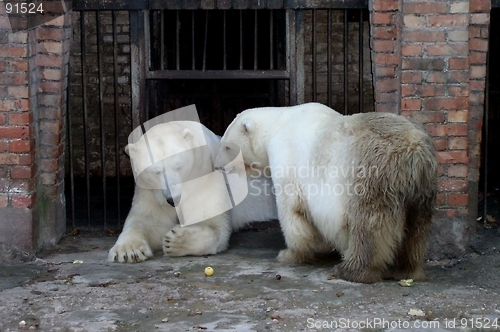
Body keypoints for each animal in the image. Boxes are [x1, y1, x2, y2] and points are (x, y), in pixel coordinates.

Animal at [108, 120, 278, 264]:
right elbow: (148, 220)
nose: (173, 199)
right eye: (155, 171)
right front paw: (129, 251)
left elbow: (214, 225)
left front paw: (175, 240)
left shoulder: (206, 176)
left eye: (178, 165)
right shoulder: (150, 190)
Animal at [219, 102, 438, 282]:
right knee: (416, 229)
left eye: (227, 146)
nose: (220, 166)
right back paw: (405, 270)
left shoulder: (287, 160)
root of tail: (413, 151)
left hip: (370, 174)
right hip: (421, 189)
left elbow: (292, 212)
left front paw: (289, 254)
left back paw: (351, 270)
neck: (277, 125)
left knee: (368, 225)